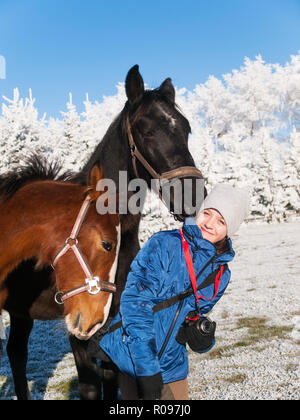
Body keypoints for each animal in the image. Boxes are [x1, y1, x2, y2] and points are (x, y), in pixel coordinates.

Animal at [1, 65, 204, 400]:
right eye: (146, 129)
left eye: (186, 129)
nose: (194, 195)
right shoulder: (80, 326)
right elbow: (90, 387)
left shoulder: (113, 320)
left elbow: (112, 380)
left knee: (16, 353)